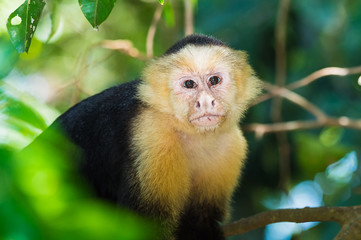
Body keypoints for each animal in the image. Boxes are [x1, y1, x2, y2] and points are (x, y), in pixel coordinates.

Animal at [34, 34, 262, 239]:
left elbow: (202, 221)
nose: (205, 102)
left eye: (214, 80)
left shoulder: (232, 146)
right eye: (189, 84)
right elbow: (144, 226)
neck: (191, 134)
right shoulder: (150, 136)